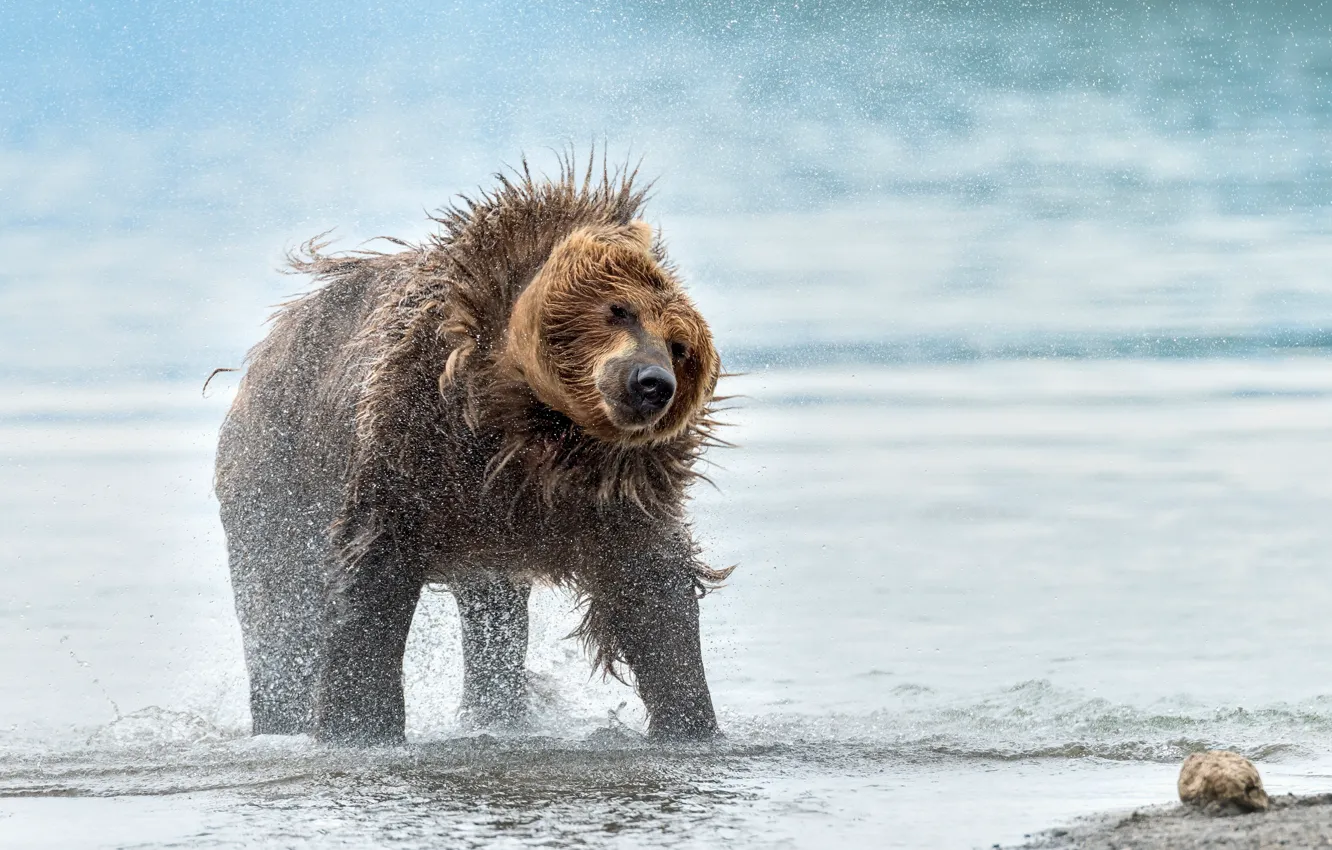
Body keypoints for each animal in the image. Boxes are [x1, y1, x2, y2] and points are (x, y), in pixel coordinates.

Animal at [215, 159, 729, 746]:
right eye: (618, 310)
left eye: (680, 346)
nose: (651, 382)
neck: (527, 431)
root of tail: (258, 358)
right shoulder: (416, 441)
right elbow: (371, 577)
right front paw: (358, 725)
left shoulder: (612, 494)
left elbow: (655, 593)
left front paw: (690, 719)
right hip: (276, 475)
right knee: (278, 608)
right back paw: (280, 715)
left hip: (485, 542)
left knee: (494, 614)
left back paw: (496, 713)